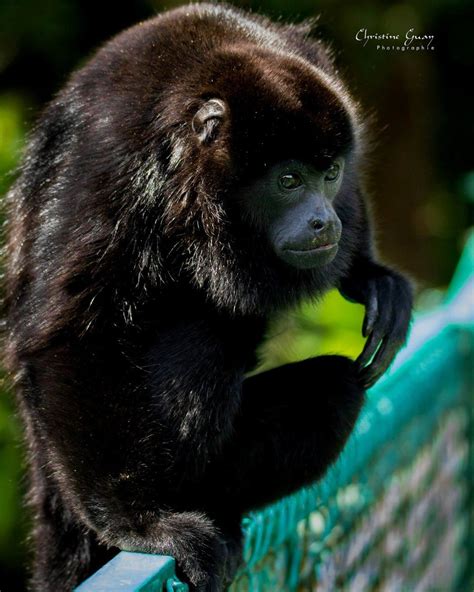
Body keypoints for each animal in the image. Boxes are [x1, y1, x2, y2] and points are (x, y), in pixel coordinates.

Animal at [2, 2, 412, 588]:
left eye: (329, 173)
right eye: (289, 180)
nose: (324, 220)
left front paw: (372, 276)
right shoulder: (105, 160)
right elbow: (70, 336)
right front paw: (137, 526)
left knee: (334, 390)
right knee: (201, 344)